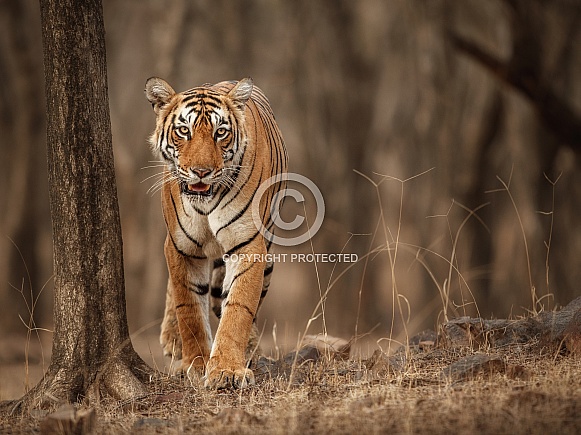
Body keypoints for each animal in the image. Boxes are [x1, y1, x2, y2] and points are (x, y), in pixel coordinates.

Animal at [144, 76, 288, 390]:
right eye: (183, 131)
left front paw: (226, 370)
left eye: (220, 132)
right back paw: (172, 339)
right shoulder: (180, 247)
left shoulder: (248, 245)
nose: (201, 171)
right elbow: (188, 308)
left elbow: (238, 308)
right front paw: (196, 364)